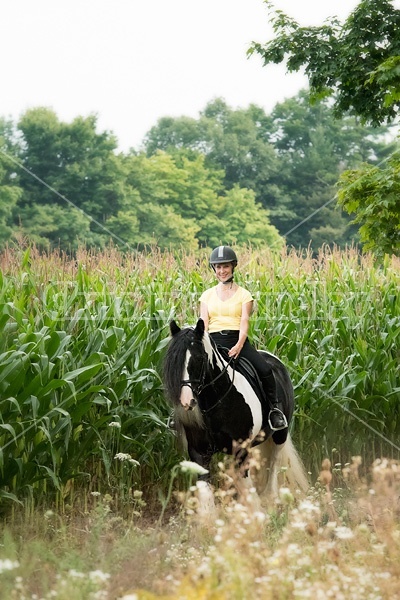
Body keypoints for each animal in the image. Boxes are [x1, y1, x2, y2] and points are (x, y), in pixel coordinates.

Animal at [162, 318, 306, 506]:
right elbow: (205, 492)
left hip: (279, 434)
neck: (216, 401)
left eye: (199, 358)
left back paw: (270, 498)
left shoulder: (241, 449)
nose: (186, 401)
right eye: (174, 360)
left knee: (273, 464)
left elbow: (246, 487)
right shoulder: (199, 452)